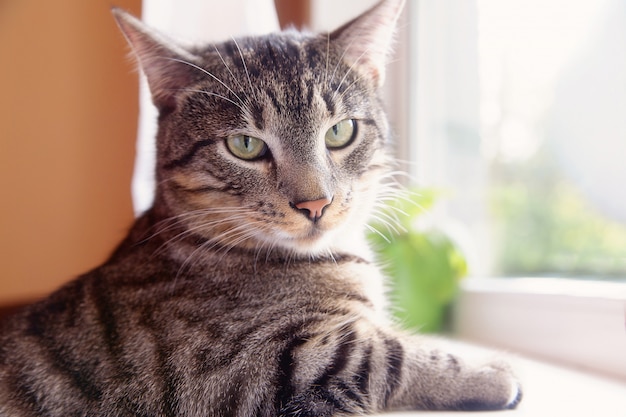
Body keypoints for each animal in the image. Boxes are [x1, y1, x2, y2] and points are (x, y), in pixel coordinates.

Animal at [0, 1, 516, 414]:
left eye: (340, 132)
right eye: (245, 145)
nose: (315, 203)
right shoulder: (256, 368)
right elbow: (382, 353)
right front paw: (489, 370)